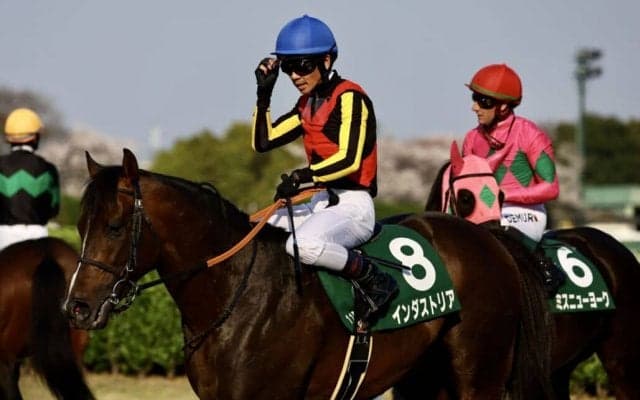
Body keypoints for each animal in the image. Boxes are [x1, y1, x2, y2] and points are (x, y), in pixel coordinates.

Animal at [63, 148, 554, 399]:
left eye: (113, 226)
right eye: (80, 225)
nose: (77, 308)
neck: (237, 296)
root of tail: (490, 238)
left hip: (479, 376)